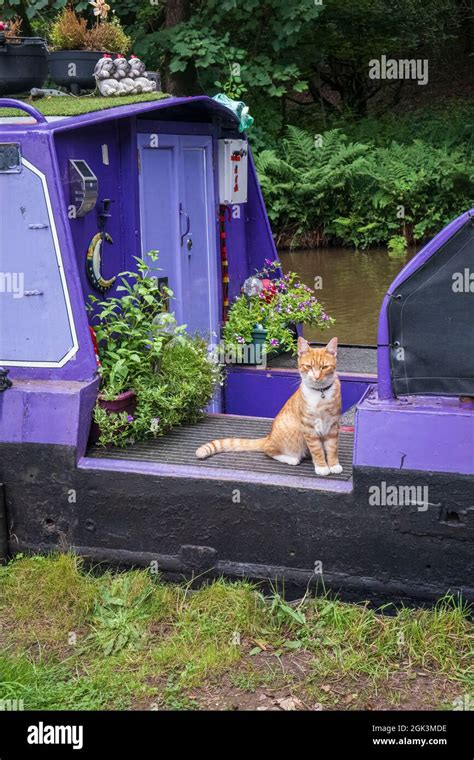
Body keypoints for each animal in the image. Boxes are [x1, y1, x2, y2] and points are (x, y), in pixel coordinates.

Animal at [194, 336, 342, 476]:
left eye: (324, 367)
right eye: (309, 366)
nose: (316, 377)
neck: (320, 393)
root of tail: (269, 437)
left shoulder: (332, 425)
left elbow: (332, 448)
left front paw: (333, 464)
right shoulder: (309, 428)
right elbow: (317, 450)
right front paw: (322, 466)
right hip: (292, 437)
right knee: (268, 450)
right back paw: (291, 458)